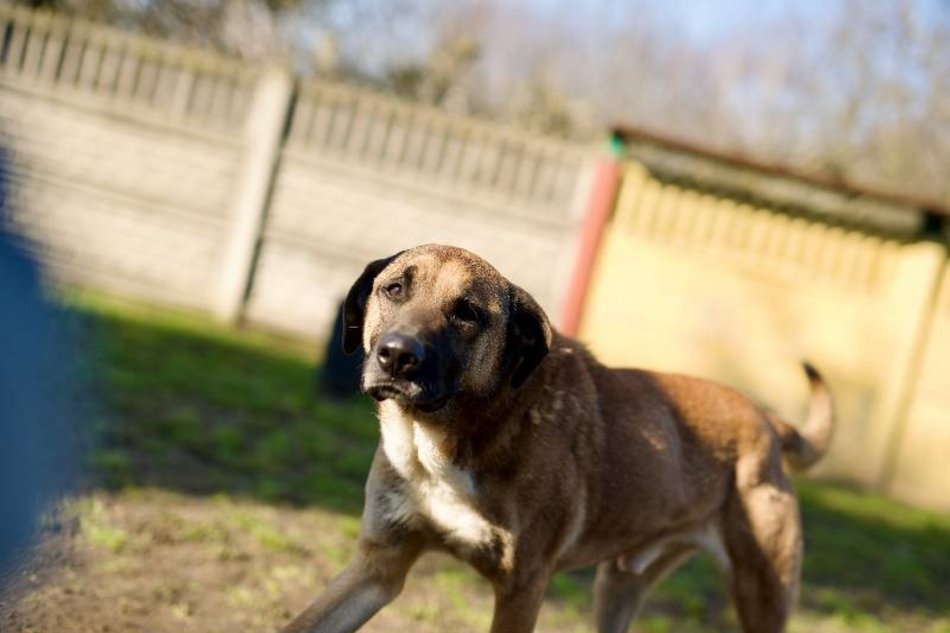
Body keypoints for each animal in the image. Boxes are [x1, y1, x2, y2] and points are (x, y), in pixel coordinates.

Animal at [280, 243, 832, 632]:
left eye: (467, 313)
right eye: (394, 289)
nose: (397, 356)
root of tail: (767, 420)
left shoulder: (523, 589)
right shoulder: (378, 568)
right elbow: (301, 623)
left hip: (763, 595)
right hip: (619, 586)